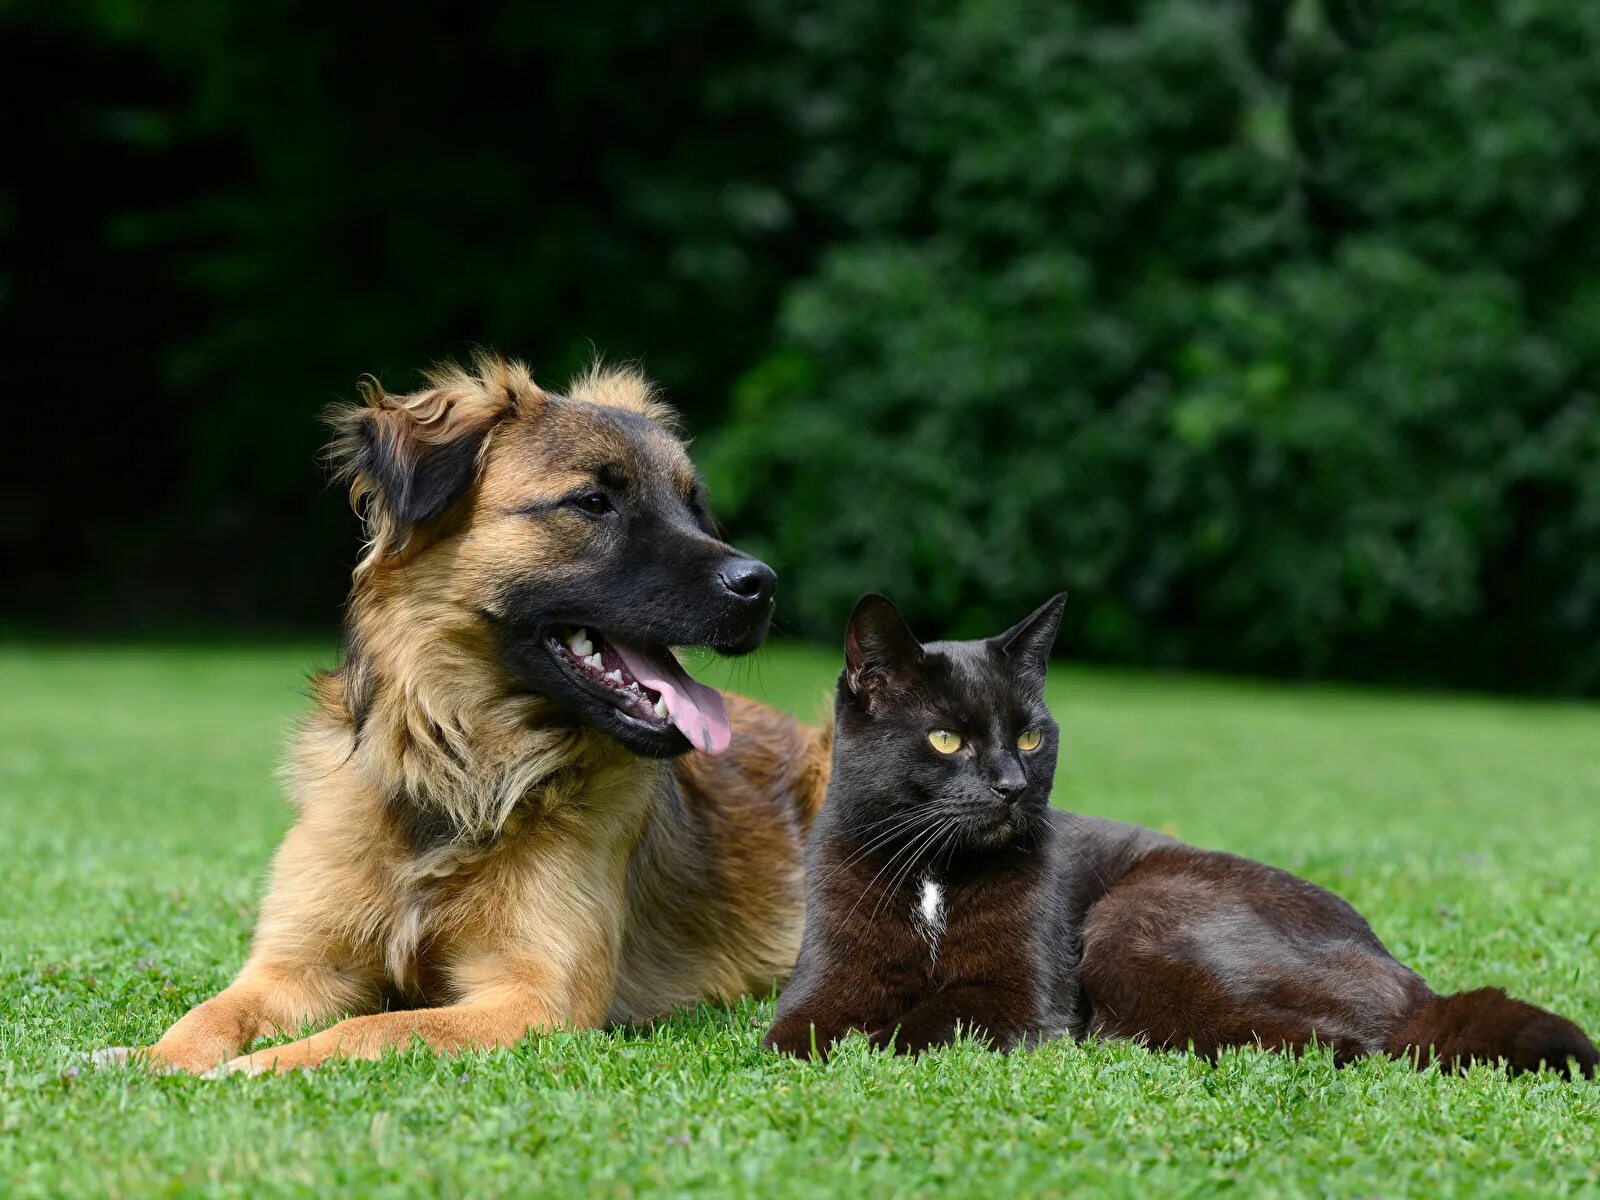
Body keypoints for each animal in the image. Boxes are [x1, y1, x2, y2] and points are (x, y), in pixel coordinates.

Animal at [100, 352, 832, 1075]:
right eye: (593, 503)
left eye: (693, 506)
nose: (761, 585)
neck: (460, 767)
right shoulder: (297, 965)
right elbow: (209, 1014)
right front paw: (149, 1058)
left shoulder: (533, 998)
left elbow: (372, 1030)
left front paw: (263, 1067)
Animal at [764, 598, 1600, 1075]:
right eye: (945, 739)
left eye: (1030, 736)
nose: (1011, 785)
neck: (934, 874)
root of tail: (1409, 978)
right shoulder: (825, 979)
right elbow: (794, 1033)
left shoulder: (1021, 996)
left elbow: (920, 1024)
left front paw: (872, 1042)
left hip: (1139, 917)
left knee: (1340, 1042)